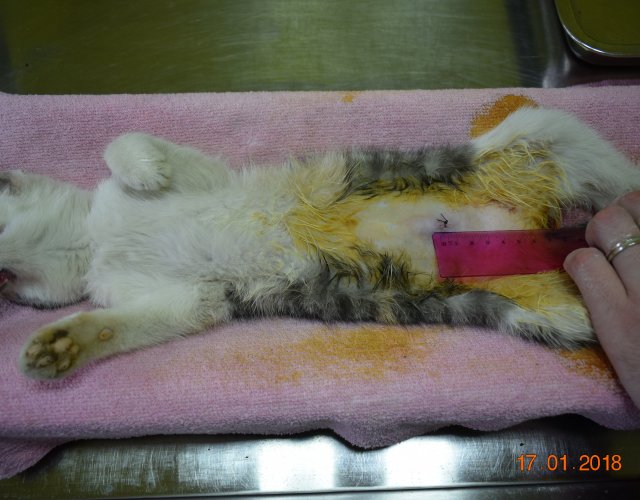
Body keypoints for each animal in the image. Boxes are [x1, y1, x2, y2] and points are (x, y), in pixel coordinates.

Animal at [2, 107, 639, 379]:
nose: (4, 283)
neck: (95, 241)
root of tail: (533, 221)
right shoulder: (182, 297)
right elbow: (139, 320)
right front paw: (57, 349)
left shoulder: (205, 175)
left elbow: (127, 141)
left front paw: (144, 169)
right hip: (552, 312)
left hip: (544, 136)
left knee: (615, 171)